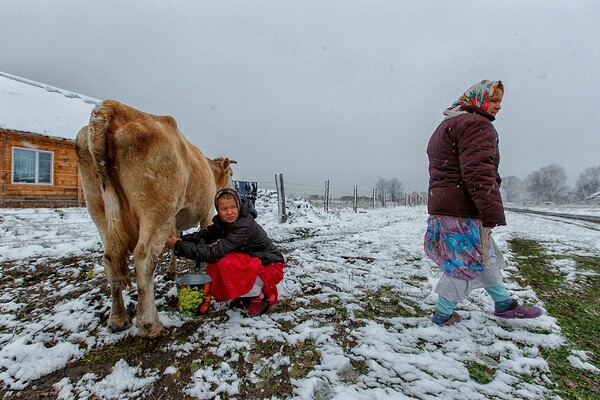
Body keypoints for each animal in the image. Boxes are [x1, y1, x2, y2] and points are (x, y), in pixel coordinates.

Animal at [75, 99, 234, 338]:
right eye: (231, 174)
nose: (233, 188)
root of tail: (112, 108)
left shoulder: (174, 220)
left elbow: (176, 243)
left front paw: (171, 271)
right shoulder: (205, 212)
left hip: (98, 209)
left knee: (110, 258)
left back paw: (118, 319)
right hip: (157, 208)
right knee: (144, 257)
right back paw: (150, 324)